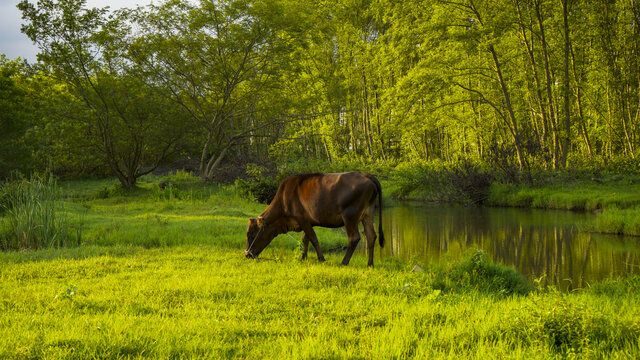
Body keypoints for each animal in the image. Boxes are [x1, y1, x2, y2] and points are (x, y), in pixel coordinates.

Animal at [245, 172, 384, 268]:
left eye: (251, 234)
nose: (247, 254)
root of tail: (366, 175)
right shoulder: (306, 221)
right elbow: (305, 239)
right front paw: (303, 257)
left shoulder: (302, 219)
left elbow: (313, 239)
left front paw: (321, 259)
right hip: (367, 214)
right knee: (371, 236)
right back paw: (370, 264)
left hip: (350, 216)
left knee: (354, 238)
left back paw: (343, 263)